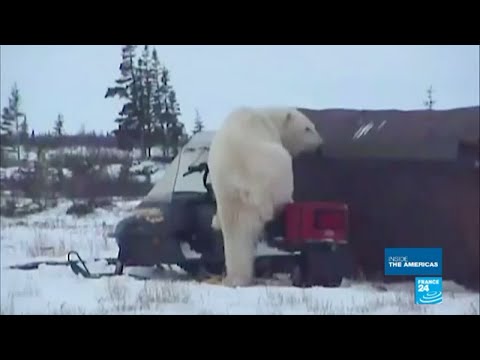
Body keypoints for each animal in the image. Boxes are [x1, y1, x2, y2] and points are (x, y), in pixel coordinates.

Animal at [208, 106, 324, 286]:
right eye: (307, 128)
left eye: (312, 126)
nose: (320, 144)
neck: (269, 116)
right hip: (274, 167)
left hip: (227, 193)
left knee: (235, 230)